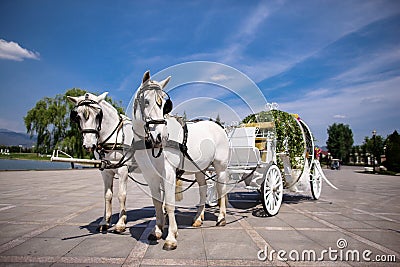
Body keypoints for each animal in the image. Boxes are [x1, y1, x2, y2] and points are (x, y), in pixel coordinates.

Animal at [67, 92, 133, 234]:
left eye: (98, 115)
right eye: (77, 116)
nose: (89, 145)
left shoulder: (123, 169)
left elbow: (121, 195)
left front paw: (120, 223)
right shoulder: (106, 171)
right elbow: (107, 195)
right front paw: (105, 221)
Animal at [133, 71, 230, 251]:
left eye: (165, 106)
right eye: (146, 101)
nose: (161, 137)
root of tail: (218, 126)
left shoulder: (169, 173)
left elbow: (170, 204)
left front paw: (171, 237)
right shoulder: (150, 176)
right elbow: (157, 203)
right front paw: (157, 230)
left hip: (220, 167)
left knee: (221, 190)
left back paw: (221, 218)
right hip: (200, 169)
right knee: (203, 190)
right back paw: (198, 218)